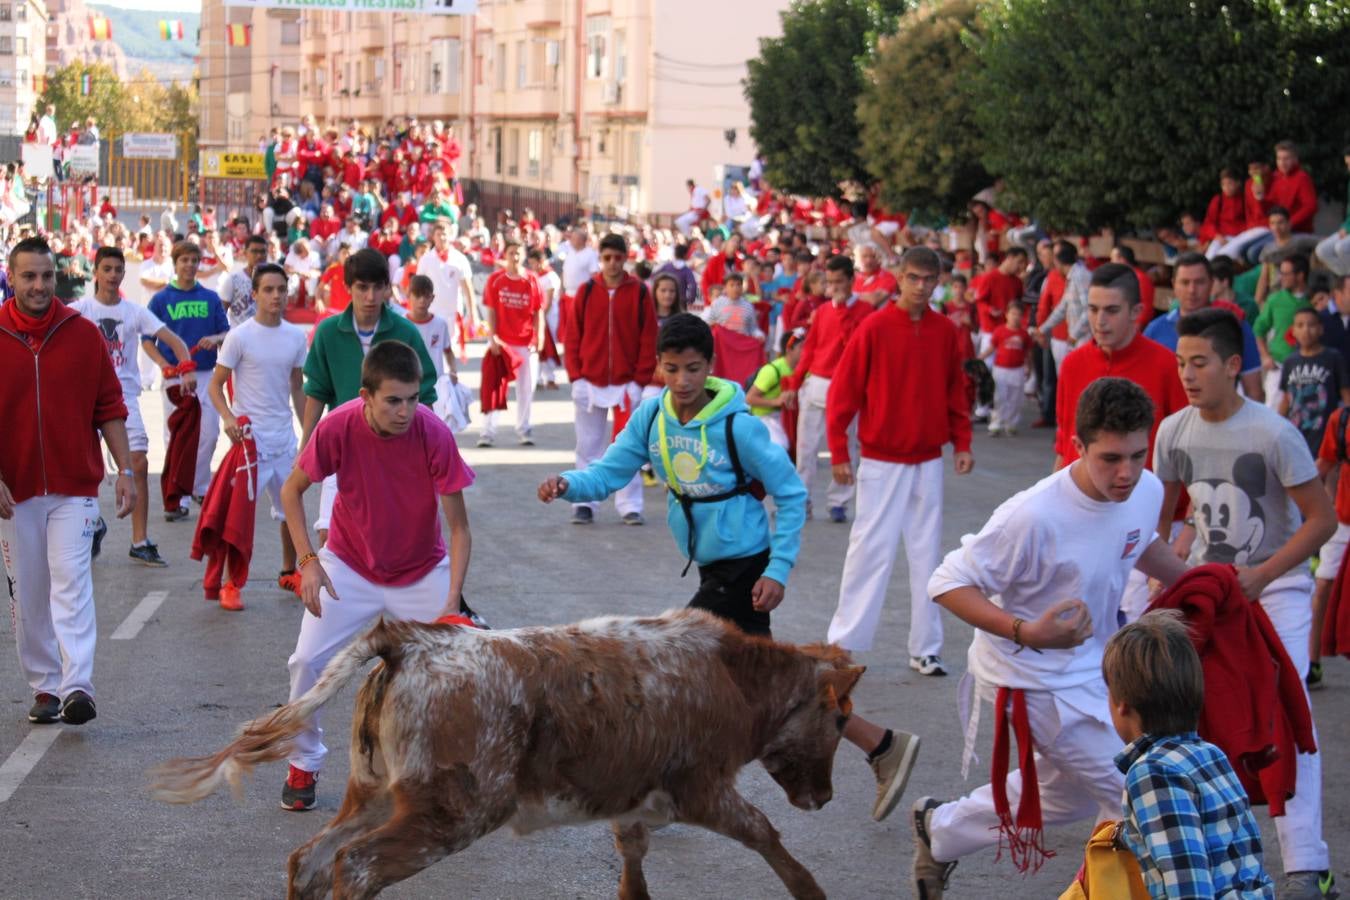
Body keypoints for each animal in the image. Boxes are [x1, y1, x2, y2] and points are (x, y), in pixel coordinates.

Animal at [150, 609, 864, 895]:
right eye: (838, 718)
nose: (825, 796)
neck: (731, 676)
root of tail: (408, 640)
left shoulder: (632, 798)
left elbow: (632, 861)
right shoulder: (704, 788)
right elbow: (765, 834)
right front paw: (811, 890)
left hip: (374, 793)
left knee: (312, 859)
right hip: (454, 812)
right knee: (357, 866)